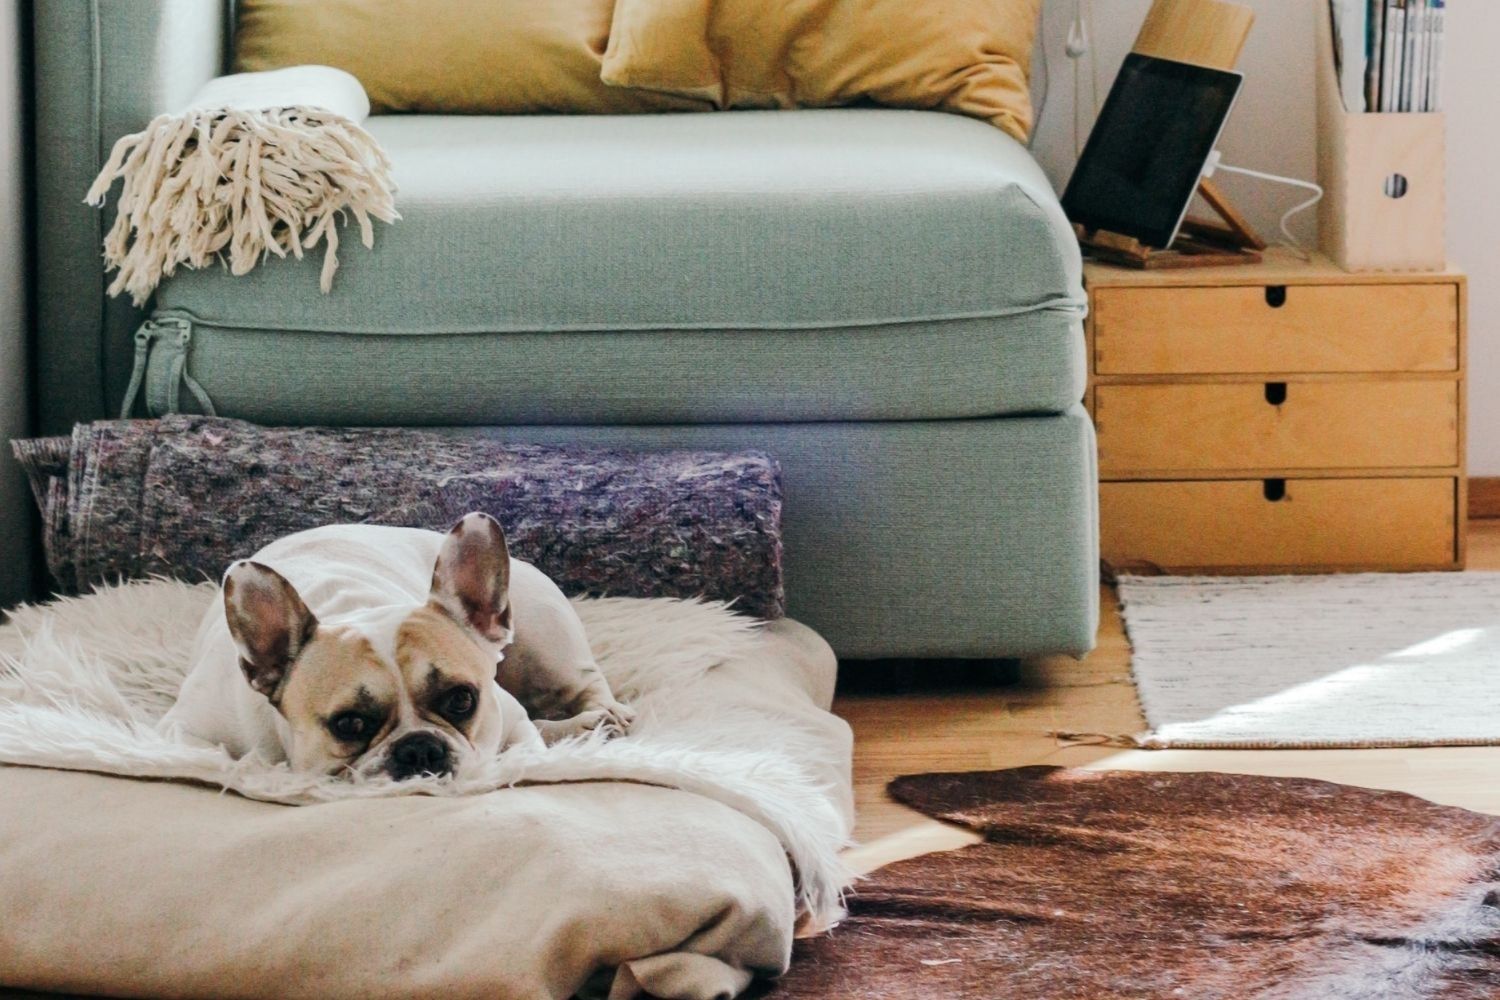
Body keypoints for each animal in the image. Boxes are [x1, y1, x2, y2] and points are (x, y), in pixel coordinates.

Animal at [161, 515, 630, 779]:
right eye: (349, 724)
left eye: (462, 699)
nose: (420, 747)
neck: (355, 607)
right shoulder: (184, 732)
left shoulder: (507, 717)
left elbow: (520, 742)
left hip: (548, 649)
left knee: (585, 687)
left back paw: (601, 720)